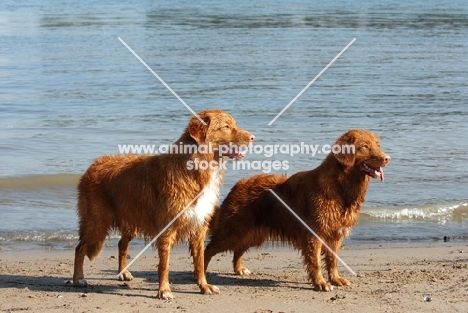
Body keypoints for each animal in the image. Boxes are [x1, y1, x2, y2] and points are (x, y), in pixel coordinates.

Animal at [73, 108, 256, 298]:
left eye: (234, 124)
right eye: (226, 126)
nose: (253, 137)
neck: (196, 167)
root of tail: (94, 164)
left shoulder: (199, 226)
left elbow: (200, 262)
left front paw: (204, 286)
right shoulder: (167, 228)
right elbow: (164, 265)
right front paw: (164, 290)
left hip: (131, 222)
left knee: (122, 244)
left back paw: (123, 272)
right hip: (97, 222)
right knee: (80, 248)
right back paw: (78, 278)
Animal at [205, 129, 392, 290]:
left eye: (378, 145)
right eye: (365, 146)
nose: (387, 158)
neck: (341, 187)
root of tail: (238, 185)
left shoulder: (335, 234)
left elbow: (332, 260)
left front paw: (336, 279)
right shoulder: (314, 233)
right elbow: (316, 262)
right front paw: (321, 283)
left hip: (253, 233)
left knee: (238, 249)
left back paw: (239, 269)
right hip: (234, 231)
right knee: (209, 249)